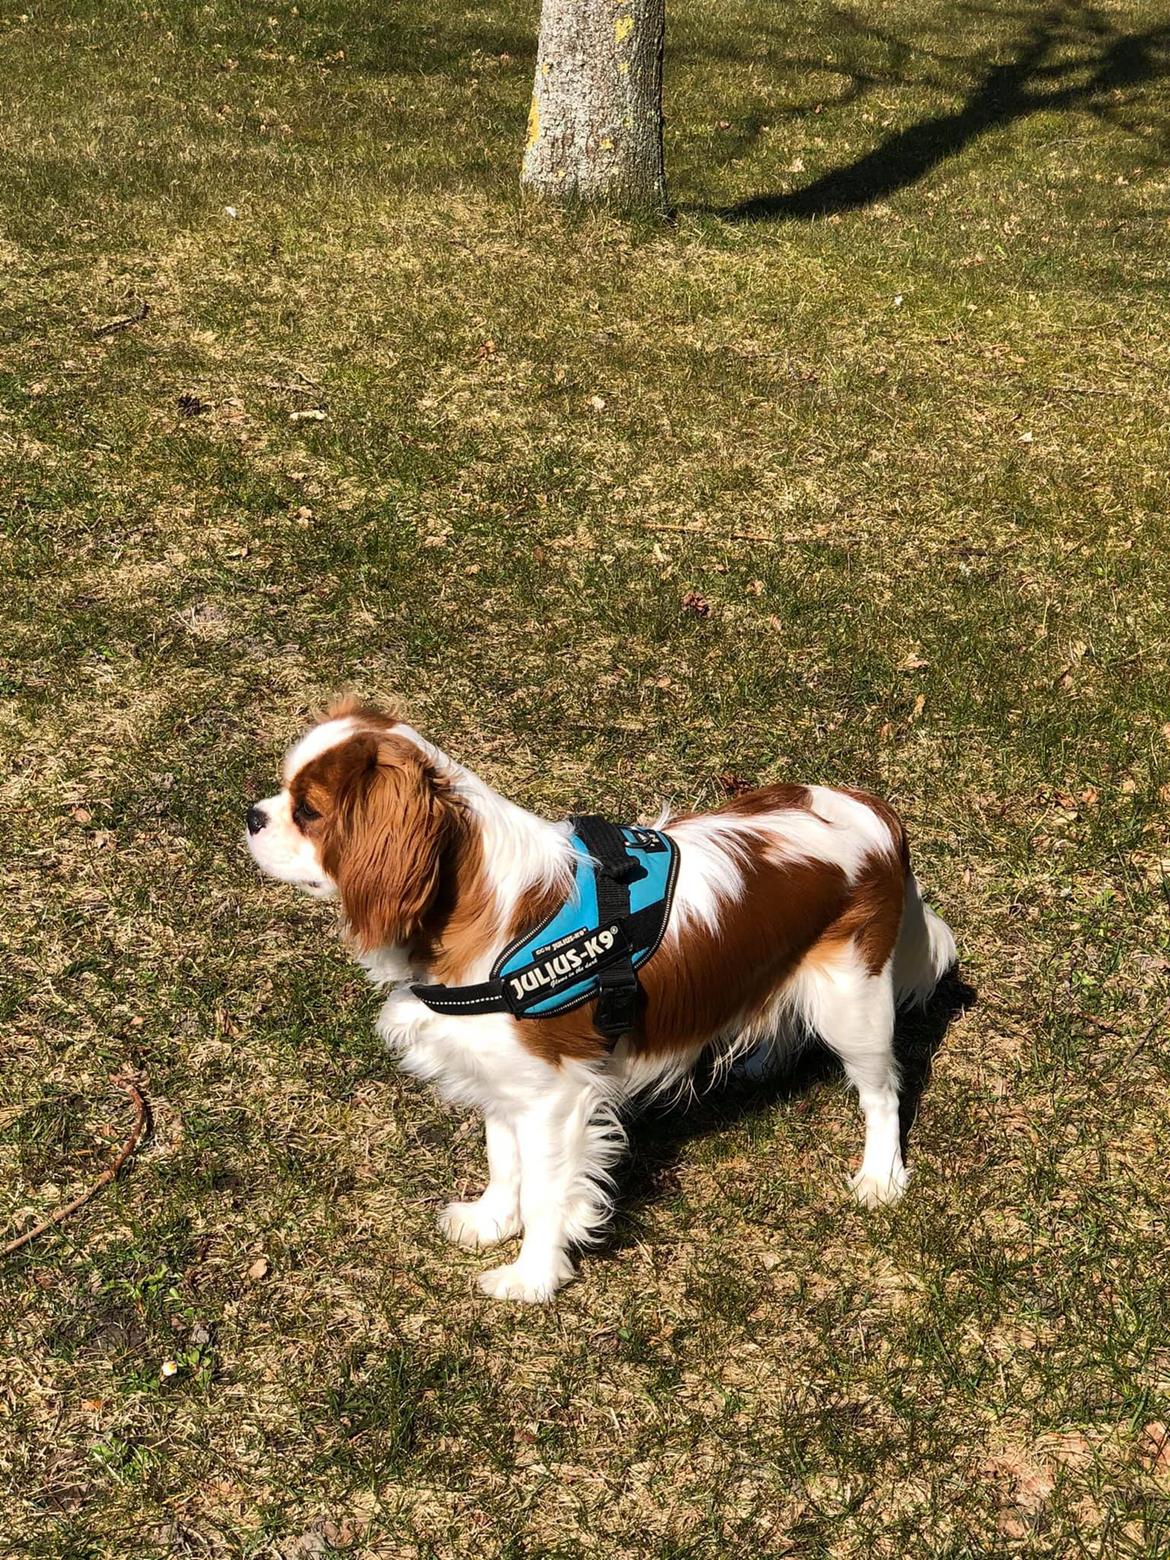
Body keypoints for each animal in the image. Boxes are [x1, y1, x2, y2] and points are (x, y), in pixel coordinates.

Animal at [244, 702, 954, 1297]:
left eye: (308, 811)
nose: (252, 815)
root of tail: (872, 809)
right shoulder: (504, 1075)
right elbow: (503, 1157)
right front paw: (491, 1219)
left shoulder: (555, 1096)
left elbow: (545, 1192)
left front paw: (531, 1277)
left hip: (853, 999)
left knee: (882, 1090)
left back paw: (881, 1175)